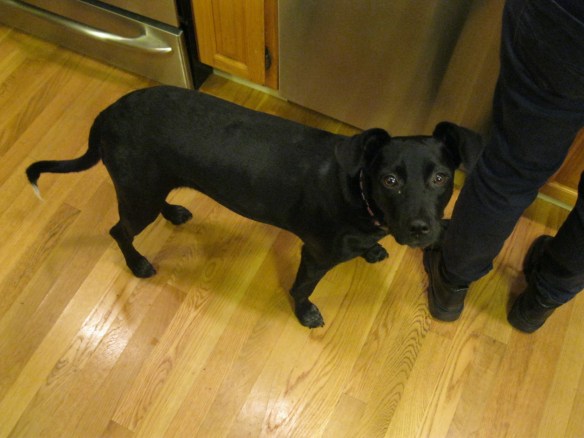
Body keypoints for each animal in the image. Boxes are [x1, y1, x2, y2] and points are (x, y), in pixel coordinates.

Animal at [26, 86, 482, 328]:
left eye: (441, 178)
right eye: (390, 180)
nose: (422, 229)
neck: (358, 191)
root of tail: (106, 113)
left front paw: (372, 250)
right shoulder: (315, 254)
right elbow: (302, 287)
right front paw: (305, 312)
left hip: (153, 186)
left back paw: (174, 213)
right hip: (138, 195)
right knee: (119, 230)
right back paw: (137, 264)